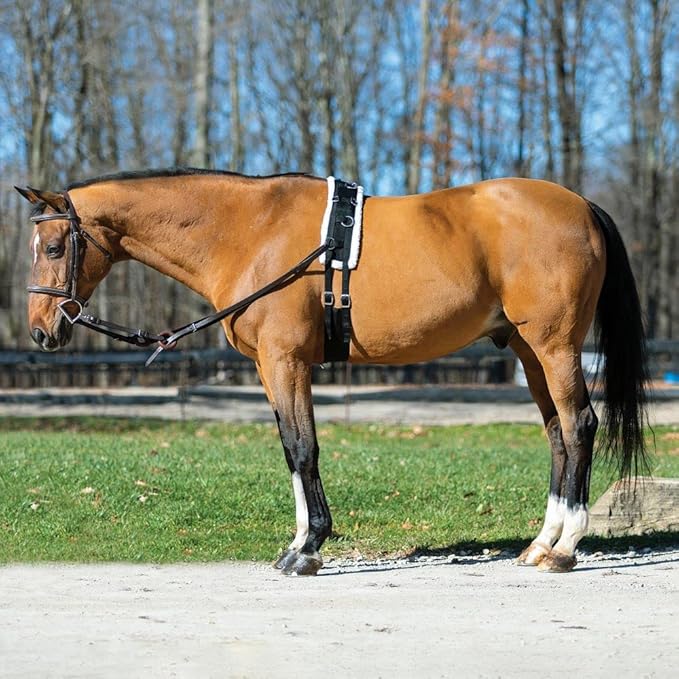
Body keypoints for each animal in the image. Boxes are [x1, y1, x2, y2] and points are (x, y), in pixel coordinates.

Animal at [16, 168, 649, 576]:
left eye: (54, 247)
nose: (42, 330)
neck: (250, 232)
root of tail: (581, 206)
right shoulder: (271, 368)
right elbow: (290, 450)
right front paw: (298, 541)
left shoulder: (287, 360)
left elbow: (304, 448)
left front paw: (308, 549)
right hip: (528, 349)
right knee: (557, 433)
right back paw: (541, 544)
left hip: (555, 345)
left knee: (580, 425)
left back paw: (565, 550)